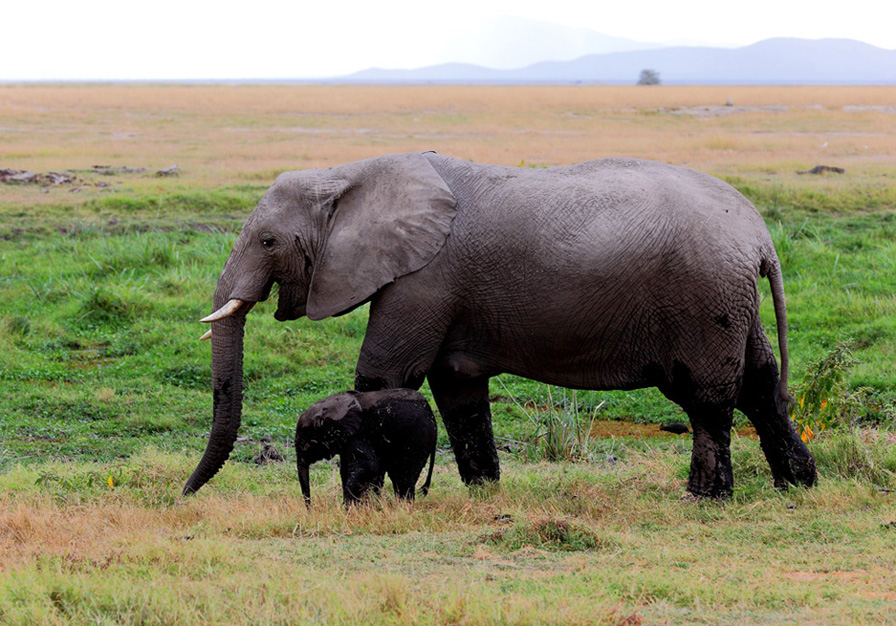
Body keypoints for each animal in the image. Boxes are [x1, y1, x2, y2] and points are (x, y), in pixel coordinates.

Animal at [298, 388, 438, 504]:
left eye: (306, 444)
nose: (310, 510)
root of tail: (432, 416)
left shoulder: (359, 434)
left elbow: (368, 466)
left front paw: (348, 508)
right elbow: (346, 470)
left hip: (418, 438)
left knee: (404, 475)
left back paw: (404, 506)